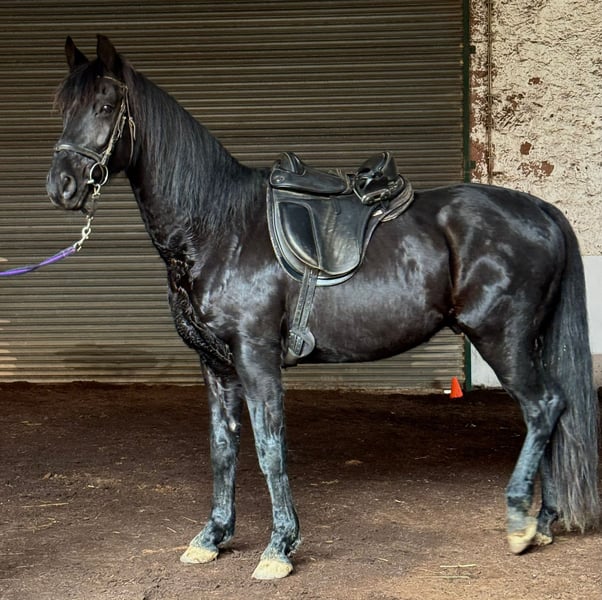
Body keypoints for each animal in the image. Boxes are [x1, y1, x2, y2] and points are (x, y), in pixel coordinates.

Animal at [46, 35, 599, 580]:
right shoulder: (216, 365)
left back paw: (520, 523)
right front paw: (212, 537)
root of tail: (540, 210)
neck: (218, 227)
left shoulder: (255, 356)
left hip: (501, 338)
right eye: (62, 106)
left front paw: (279, 548)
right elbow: (223, 448)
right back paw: (543, 522)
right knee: (550, 414)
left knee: (543, 406)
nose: (62, 186)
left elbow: (269, 447)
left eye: (105, 105)